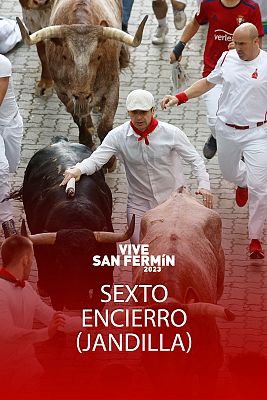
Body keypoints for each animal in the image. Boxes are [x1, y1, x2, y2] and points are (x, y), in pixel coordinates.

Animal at [17, 139, 134, 310]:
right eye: (60, 262)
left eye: (92, 261)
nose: (75, 302)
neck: (75, 222)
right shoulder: (55, 287)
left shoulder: (105, 281)